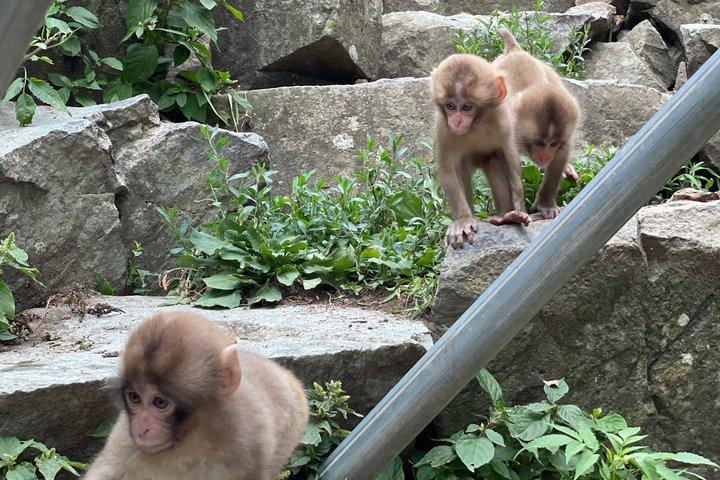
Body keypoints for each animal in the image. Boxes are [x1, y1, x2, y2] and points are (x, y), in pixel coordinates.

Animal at [84, 311, 309, 480]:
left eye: (160, 402)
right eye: (135, 398)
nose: (142, 429)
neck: (191, 435)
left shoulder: (250, 441)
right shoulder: (123, 437)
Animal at [431, 53, 530, 249]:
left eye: (467, 107)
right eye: (450, 106)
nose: (457, 121)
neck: (475, 125)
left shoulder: (502, 118)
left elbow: (509, 156)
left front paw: (519, 208)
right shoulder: (443, 129)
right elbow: (448, 171)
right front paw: (462, 220)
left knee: (494, 160)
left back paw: (506, 216)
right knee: (461, 168)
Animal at [493, 28, 582, 220]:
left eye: (553, 144)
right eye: (539, 143)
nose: (545, 156)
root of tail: (514, 51)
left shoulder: (564, 139)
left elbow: (558, 161)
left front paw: (546, 204)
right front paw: (517, 212)